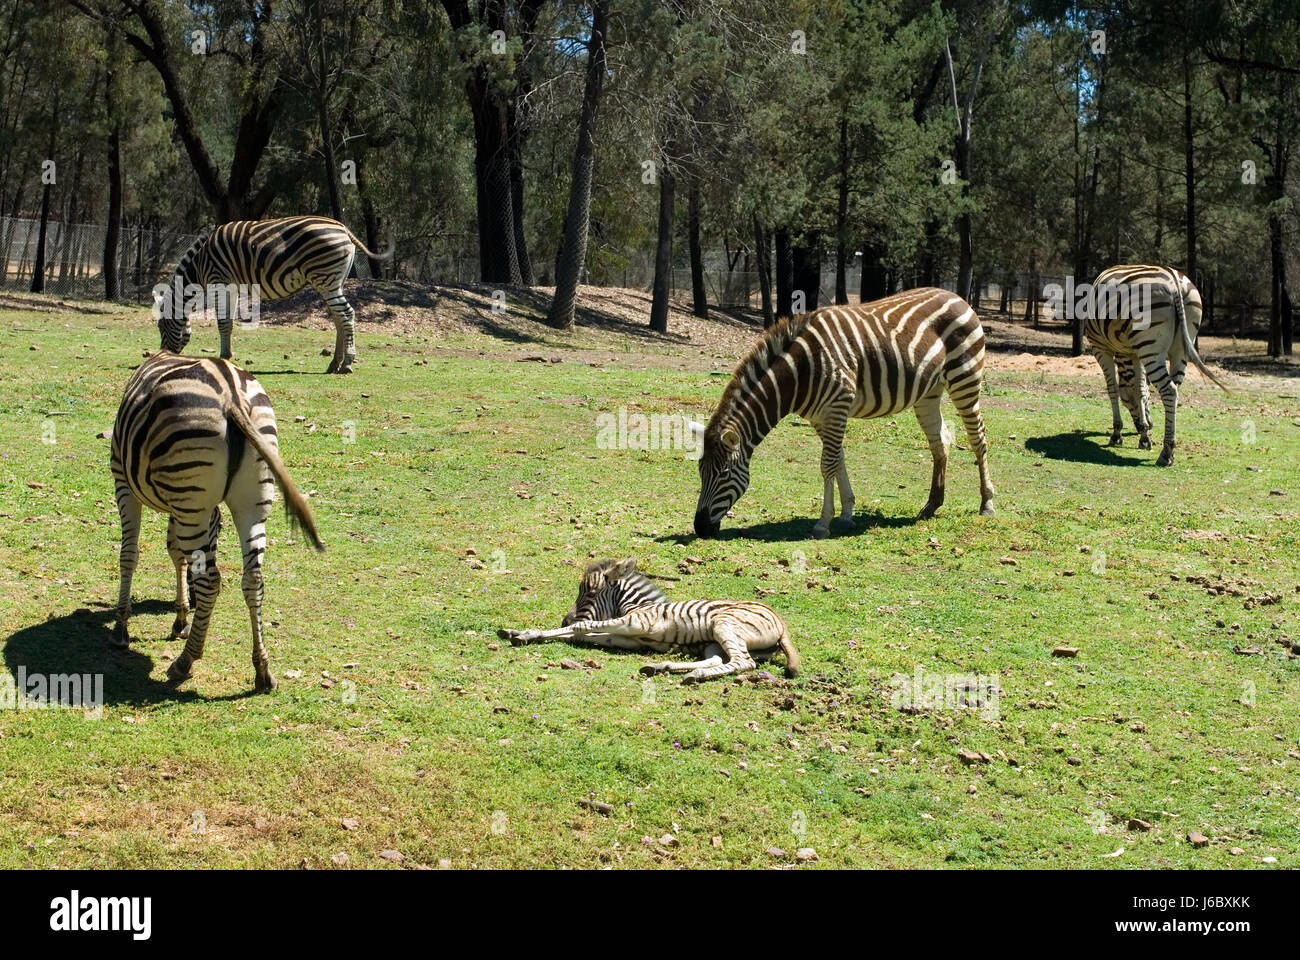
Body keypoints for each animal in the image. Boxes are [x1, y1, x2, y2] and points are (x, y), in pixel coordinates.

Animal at [111, 348, 325, 686]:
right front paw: (181, 616)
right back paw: (262, 669)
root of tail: (231, 395)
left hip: (191, 493)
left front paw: (122, 626)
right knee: (253, 578)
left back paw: (185, 662)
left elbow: (129, 555)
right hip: (248, 499)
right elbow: (177, 553)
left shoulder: (123, 481)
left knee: (211, 581)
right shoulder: (190, 508)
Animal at [157, 214, 390, 372]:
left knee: (346, 314)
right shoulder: (230, 285)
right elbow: (228, 323)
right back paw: (334, 363)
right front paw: (227, 355)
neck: (199, 264)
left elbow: (222, 322)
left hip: (326, 277)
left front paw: (223, 357)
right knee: (338, 317)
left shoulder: (218, 280)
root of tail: (343, 229)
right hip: (333, 281)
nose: (162, 355)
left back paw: (347, 363)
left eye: (160, 326)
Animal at [499, 556, 795, 686]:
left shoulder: (638, 624)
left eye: (590, 593)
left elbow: (580, 627)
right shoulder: (631, 637)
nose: (563, 617)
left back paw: (691, 675)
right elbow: (579, 634)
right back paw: (664, 667)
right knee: (717, 660)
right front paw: (520, 632)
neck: (638, 606)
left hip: (724, 624)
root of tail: (782, 624)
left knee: (744, 662)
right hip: (714, 640)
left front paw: (526, 633)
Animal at [691, 283, 993, 538]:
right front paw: (847, 513)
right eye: (700, 471)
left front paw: (823, 523)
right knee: (940, 441)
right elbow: (838, 460)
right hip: (928, 393)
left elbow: (827, 464)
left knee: (978, 438)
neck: (800, 372)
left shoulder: (837, 406)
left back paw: (986, 503)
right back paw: (932, 504)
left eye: (724, 474)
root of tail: (957, 296)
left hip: (965, 378)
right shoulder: (821, 417)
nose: (700, 528)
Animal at [1086, 264, 1227, 463]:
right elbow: (1141, 389)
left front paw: (1117, 434)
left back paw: (1167, 452)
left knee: (1169, 390)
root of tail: (1174, 281)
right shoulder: (1135, 353)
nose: (1149, 425)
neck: (1124, 353)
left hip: (1150, 347)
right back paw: (1167, 446)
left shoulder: (1100, 347)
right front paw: (1144, 437)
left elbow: (1113, 389)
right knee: (1174, 390)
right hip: (1179, 348)